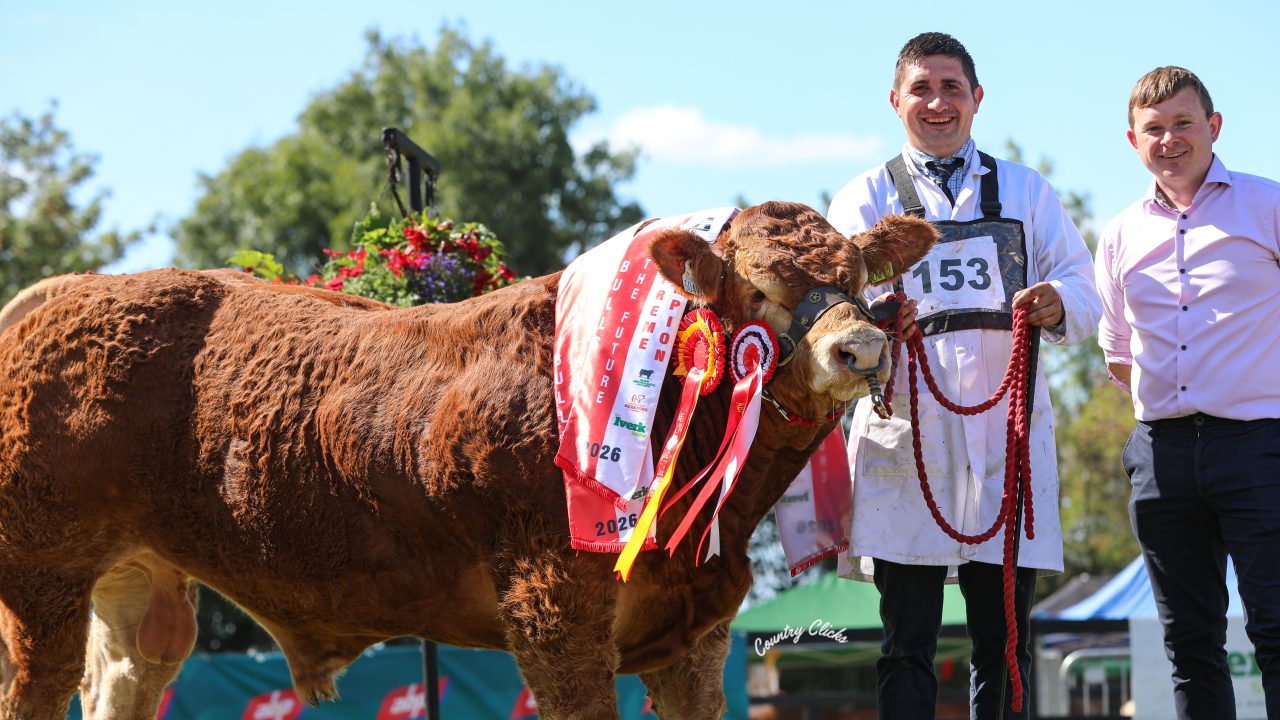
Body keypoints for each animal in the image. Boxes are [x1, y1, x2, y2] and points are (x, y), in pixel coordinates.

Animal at [0, 201, 934, 720]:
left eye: (859, 278)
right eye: (762, 289)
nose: (859, 346)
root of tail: (69, 290)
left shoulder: (696, 629)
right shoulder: (555, 607)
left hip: (140, 582)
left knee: (124, 676)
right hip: (42, 575)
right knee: (37, 685)